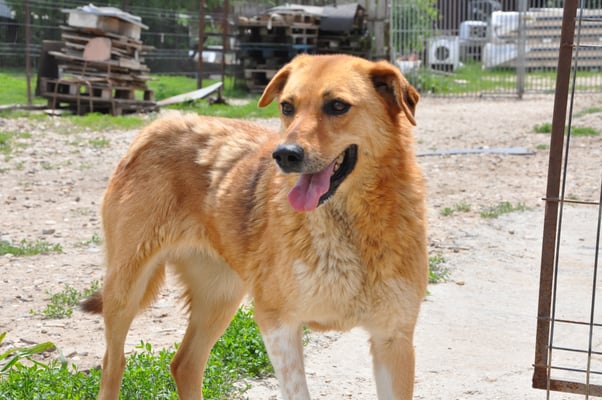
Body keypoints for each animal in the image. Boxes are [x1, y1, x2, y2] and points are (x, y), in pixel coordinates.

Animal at [82, 53, 427, 400]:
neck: (349, 227)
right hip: (126, 286)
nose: (284, 155)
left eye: (338, 106)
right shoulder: (277, 323)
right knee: (113, 363)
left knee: (185, 364)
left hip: (219, 296)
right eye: (287, 107)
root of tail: (156, 125)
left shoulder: (394, 339)